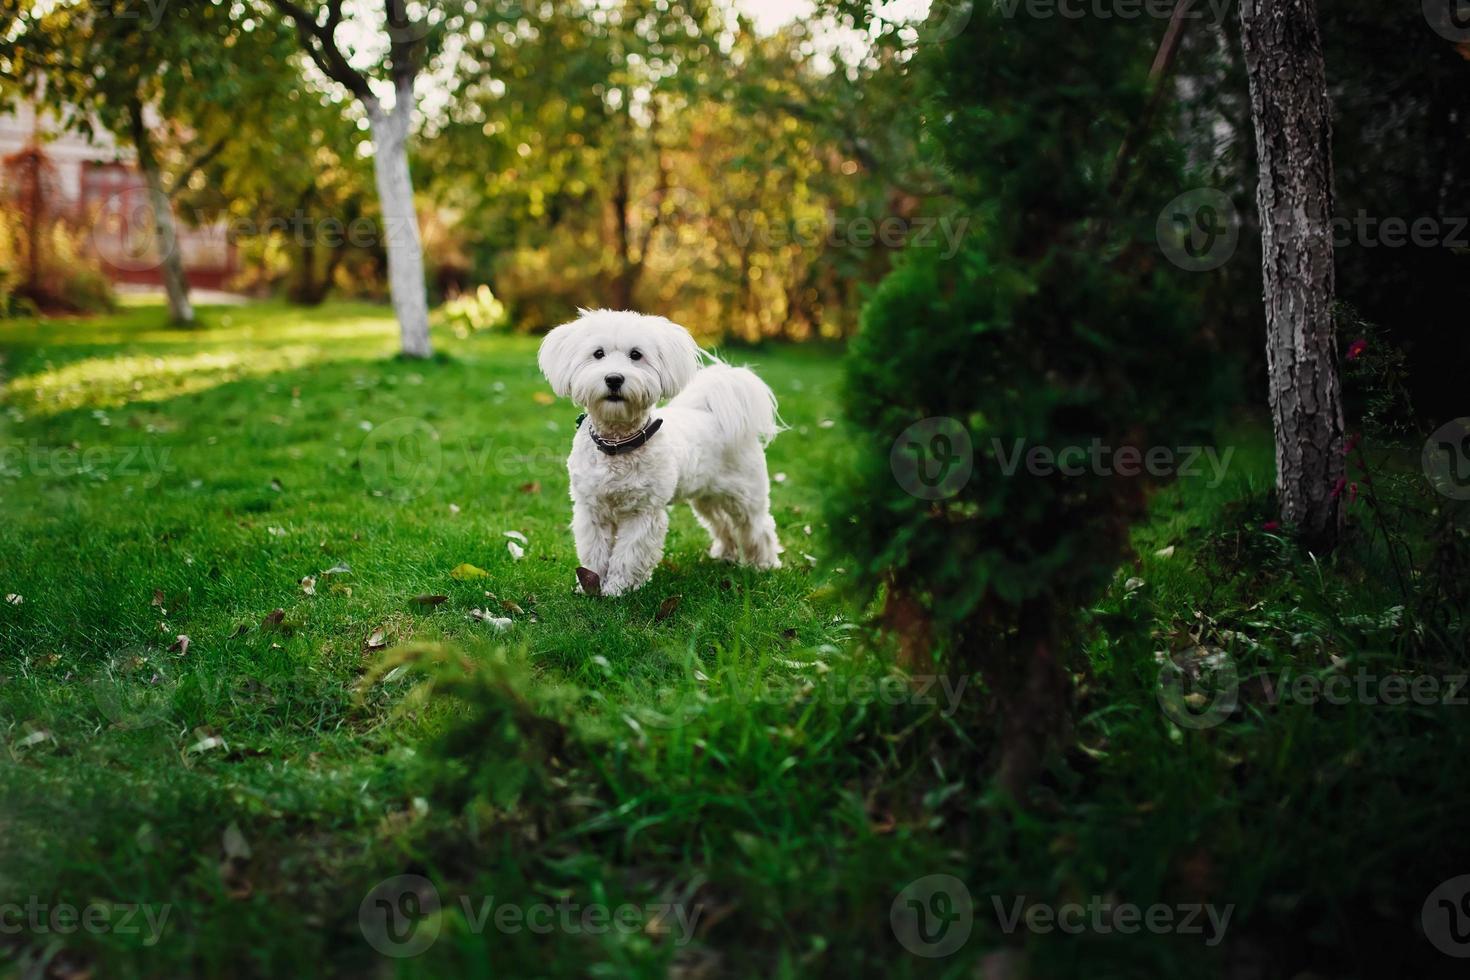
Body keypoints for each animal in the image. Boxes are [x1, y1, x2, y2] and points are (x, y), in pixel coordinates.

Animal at [538, 310, 787, 593]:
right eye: (598, 353)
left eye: (636, 354)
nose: (614, 378)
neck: (617, 444)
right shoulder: (592, 509)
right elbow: (594, 552)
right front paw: (590, 585)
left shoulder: (643, 512)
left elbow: (628, 554)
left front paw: (617, 590)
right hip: (706, 497)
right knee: (721, 524)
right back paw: (725, 554)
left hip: (746, 494)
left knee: (758, 527)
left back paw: (764, 564)